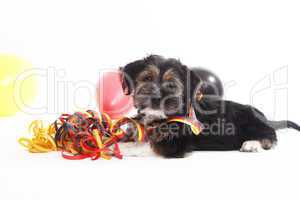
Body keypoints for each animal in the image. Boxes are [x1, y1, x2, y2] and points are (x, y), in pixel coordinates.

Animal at [119, 55, 300, 158]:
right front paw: (122, 141)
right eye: (147, 78)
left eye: (172, 85)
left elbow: (151, 146)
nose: (156, 97)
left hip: (252, 122)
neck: (160, 117)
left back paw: (251, 144)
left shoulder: (176, 143)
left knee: (270, 136)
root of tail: (265, 118)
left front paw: (124, 148)